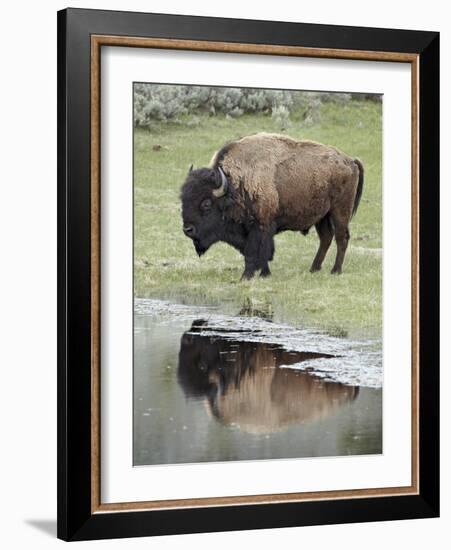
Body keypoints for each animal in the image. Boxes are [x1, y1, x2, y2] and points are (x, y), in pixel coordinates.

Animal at [180, 133, 364, 280]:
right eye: (183, 199)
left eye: (206, 203)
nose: (187, 229)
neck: (234, 186)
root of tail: (350, 161)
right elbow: (261, 253)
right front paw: (264, 274)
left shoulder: (260, 226)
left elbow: (255, 251)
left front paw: (246, 276)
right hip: (322, 216)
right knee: (326, 237)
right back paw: (314, 269)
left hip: (339, 211)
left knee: (341, 237)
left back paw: (335, 271)